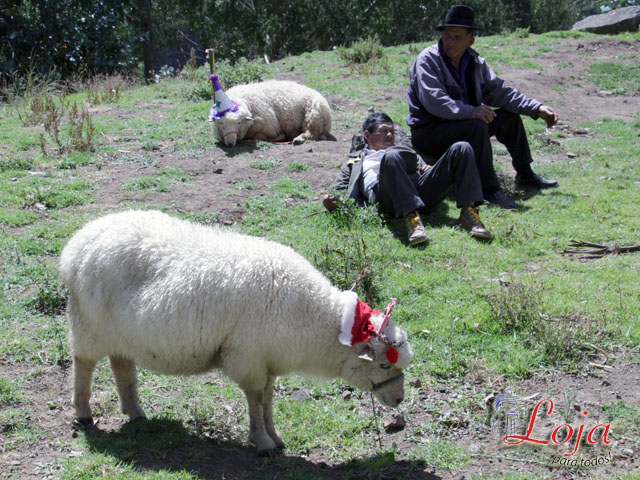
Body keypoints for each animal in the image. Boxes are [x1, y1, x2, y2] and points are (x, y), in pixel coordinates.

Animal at [57, 210, 412, 454]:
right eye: (383, 363)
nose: (399, 399)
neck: (311, 317)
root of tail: (79, 242)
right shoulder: (248, 357)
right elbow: (255, 399)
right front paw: (262, 442)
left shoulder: (268, 361)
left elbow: (267, 400)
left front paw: (275, 436)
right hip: (89, 325)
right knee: (84, 365)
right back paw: (84, 414)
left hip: (122, 333)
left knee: (121, 365)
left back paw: (135, 412)